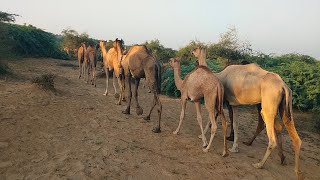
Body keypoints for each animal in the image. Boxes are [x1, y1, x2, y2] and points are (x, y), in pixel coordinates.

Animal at [192, 47, 302, 179]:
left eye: (195, 49)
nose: (191, 52)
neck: (219, 75)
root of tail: (283, 86)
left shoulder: (226, 101)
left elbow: (218, 119)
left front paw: (203, 136)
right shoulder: (233, 103)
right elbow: (235, 123)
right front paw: (234, 146)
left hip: (268, 104)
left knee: (271, 137)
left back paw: (259, 164)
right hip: (284, 105)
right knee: (291, 133)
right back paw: (292, 168)